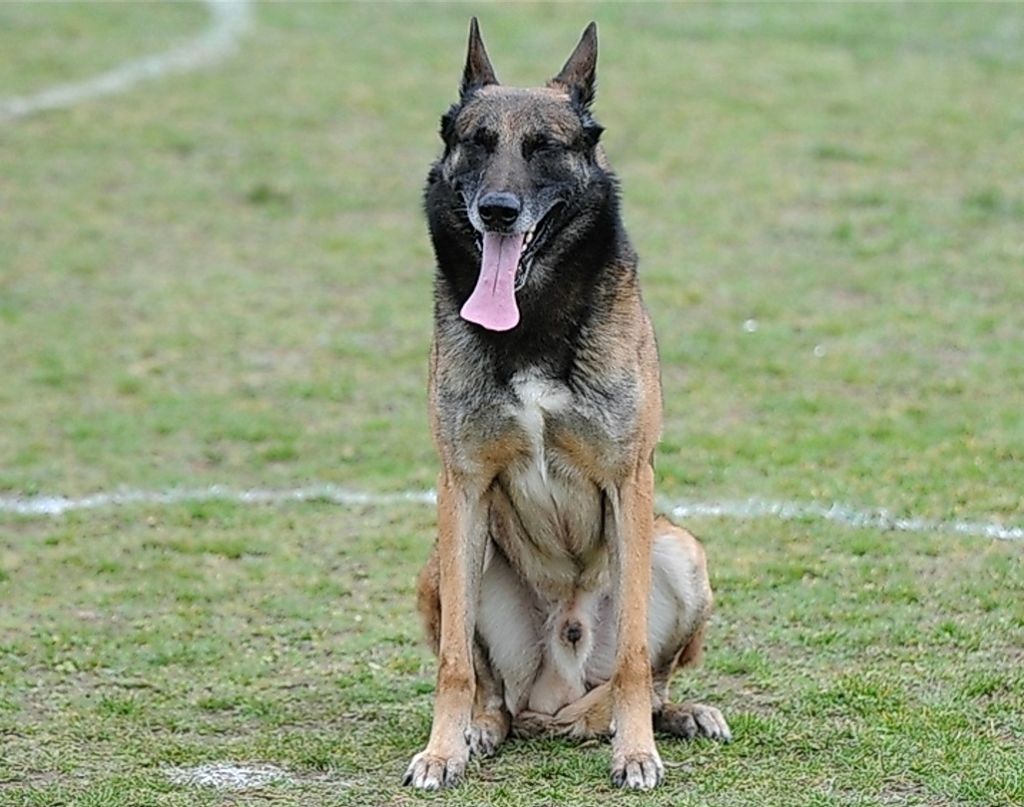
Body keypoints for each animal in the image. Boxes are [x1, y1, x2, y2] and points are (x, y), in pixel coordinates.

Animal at [399, 20, 729, 794]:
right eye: (478, 141)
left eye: (545, 146)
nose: (497, 210)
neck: (532, 321)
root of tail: (555, 694)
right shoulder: (461, 485)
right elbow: (453, 663)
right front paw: (441, 749)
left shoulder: (630, 480)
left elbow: (636, 659)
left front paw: (635, 750)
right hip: (444, 562)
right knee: (494, 691)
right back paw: (482, 729)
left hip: (679, 548)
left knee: (654, 678)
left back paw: (670, 716)